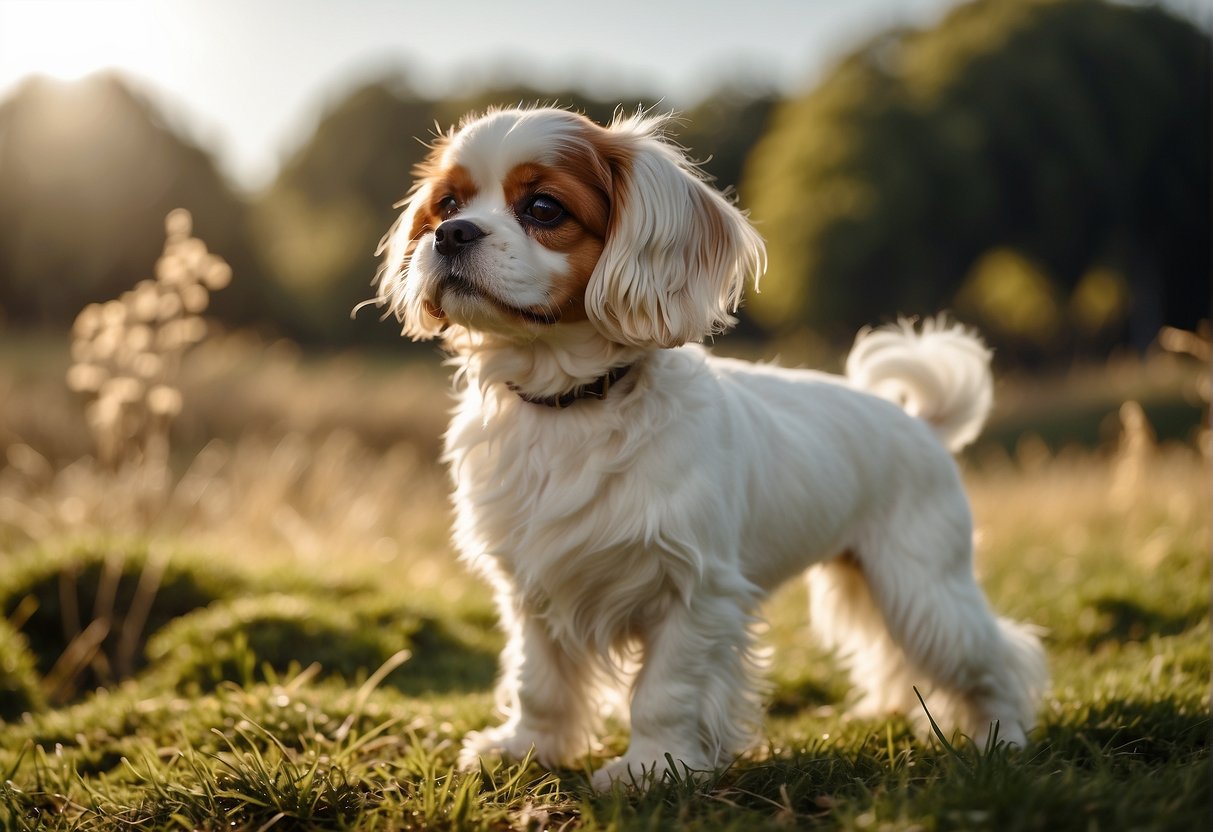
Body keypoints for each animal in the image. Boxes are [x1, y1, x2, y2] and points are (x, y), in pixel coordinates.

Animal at [373, 107, 1048, 790]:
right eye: (447, 203)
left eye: (542, 207)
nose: (451, 234)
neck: (570, 405)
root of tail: (920, 422)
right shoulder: (533, 588)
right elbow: (539, 681)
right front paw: (526, 749)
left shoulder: (695, 593)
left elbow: (664, 693)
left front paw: (649, 766)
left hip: (923, 591)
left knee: (999, 656)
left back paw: (999, 740)